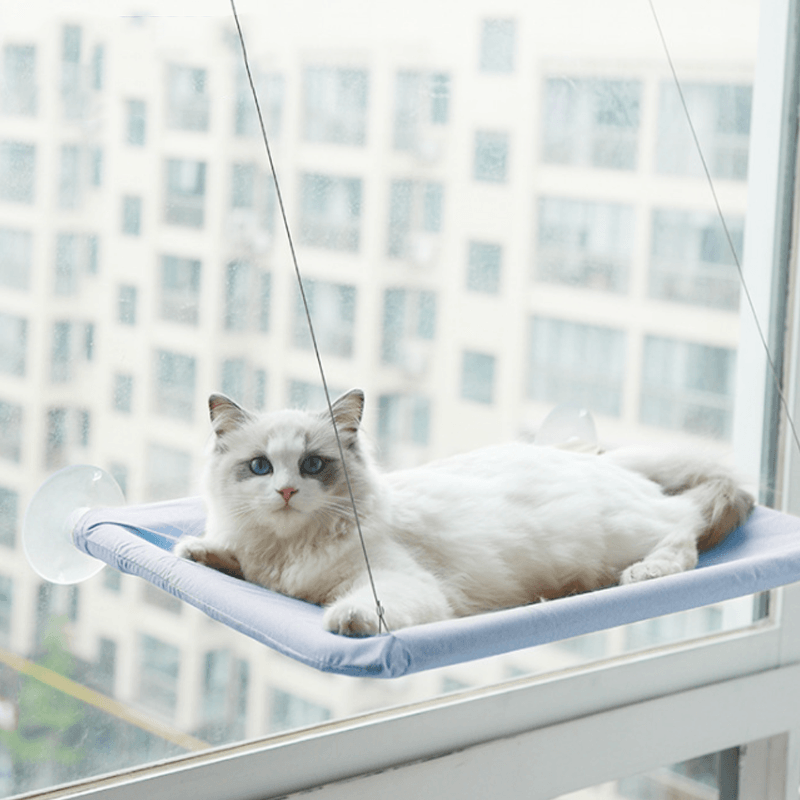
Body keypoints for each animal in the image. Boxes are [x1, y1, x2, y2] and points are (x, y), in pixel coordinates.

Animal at [177, 390, 756, 636]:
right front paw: (198, 551)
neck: (289, 549)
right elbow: (232, 559)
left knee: (683, 532)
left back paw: (645, 573)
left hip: (625, 533)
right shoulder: (263, 567)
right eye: (260, 467)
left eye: (312, 464)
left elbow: (364, 605)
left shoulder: (397, 582)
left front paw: (348, 621)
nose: (286, 492)